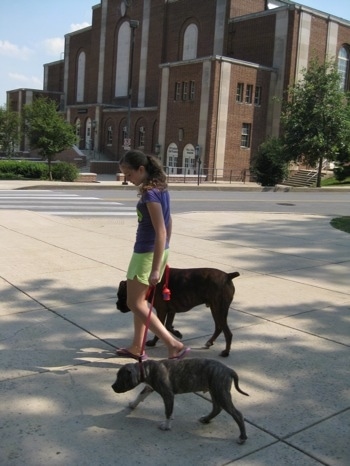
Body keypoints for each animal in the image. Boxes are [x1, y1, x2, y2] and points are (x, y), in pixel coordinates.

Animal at [112, 358, 249, 442]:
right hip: (214, 391)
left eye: (121, 379)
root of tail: (229, 370)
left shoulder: (168, 395)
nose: (112, 386)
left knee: (237, 414)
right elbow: (141, 395)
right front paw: (133, 404)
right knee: (217, 408)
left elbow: (168, 411)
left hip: (220, 393)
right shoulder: (149, 387)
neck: (146, 369)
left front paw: (166, 425)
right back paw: (206, 419)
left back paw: (242, 437)